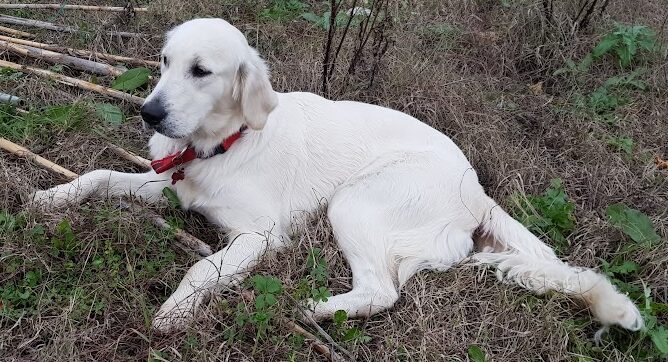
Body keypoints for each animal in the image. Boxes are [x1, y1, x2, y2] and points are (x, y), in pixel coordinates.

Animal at [31, 17, 640, 334]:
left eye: (201, 71)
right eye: (163, 62)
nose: (149, 114)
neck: (222, 144)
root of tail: (476, 188)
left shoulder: (261, 234)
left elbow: (203, 267)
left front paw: (176, 310)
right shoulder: (166, 185)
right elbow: (98, 174)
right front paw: (50, 195)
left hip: (353, 203)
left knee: (382, 292)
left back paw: (312, 308)